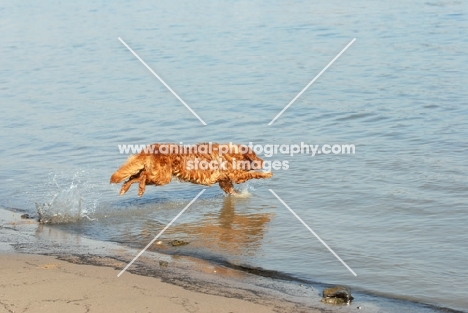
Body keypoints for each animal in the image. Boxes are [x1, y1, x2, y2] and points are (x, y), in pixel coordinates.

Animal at [109, 143, 272, 195]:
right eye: (256, 155)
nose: (263, 161)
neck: (231, 153)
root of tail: (152, 147)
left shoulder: (225, 182)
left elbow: (232, 190)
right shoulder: (236, 176)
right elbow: (254, 174)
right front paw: (267, 174)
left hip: (159, 176)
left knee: (134, 176)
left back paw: (125, 188)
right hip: (162, 177)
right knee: (142, 176)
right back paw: (140, 189)